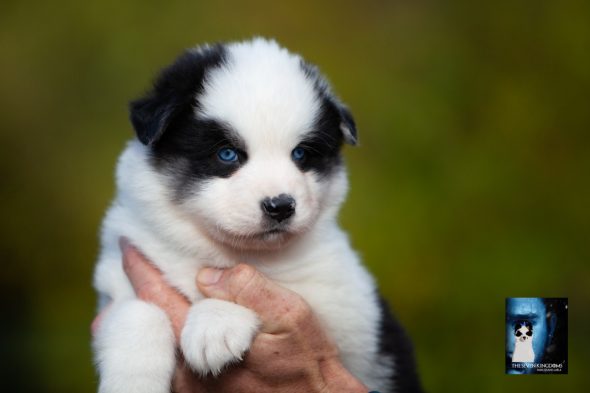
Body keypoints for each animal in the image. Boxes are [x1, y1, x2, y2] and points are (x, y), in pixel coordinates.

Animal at [92, 37, 424, 392]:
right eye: (227, 154)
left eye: (300, 154)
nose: (281, 206)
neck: (220, 250)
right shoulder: (119, 275)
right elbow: (135, 312)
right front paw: (133, 378)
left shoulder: (345, 308)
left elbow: (268, 287)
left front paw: (215, 324)